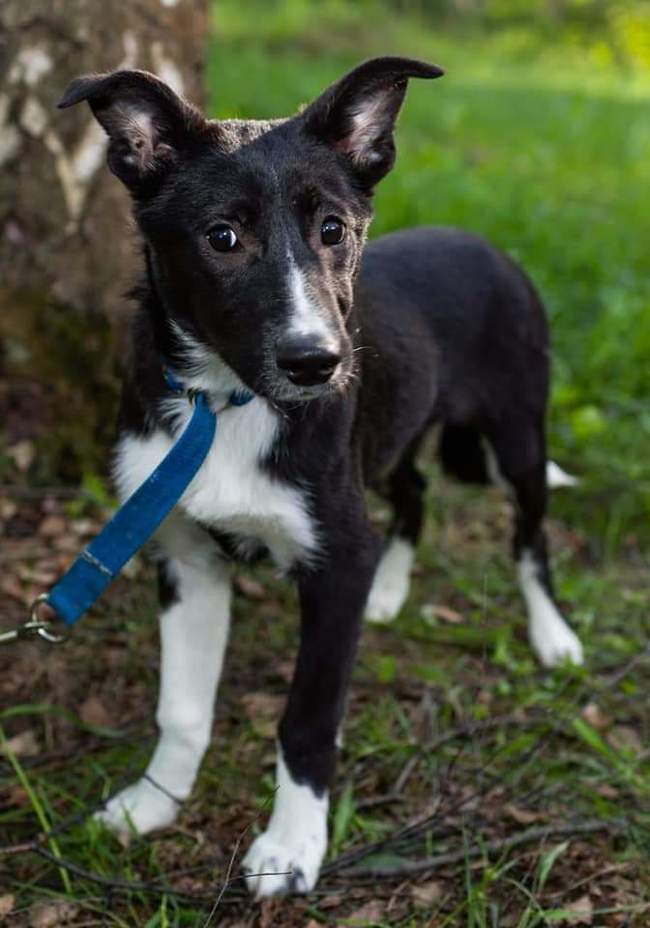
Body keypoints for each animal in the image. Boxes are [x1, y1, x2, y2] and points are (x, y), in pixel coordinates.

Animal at [58, 58, 580, 900]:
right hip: (391, 440)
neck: (224, 403)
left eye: (333, 230)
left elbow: (306, 719)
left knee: (529, 538)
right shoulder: (185, 557)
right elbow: (182, 710)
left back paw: (553, 634)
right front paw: (154, 802)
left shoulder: (334, 567)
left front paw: (292, 847)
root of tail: (483, 243)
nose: (317, 364)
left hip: (517, 438)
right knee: (413, 496)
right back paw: (392, 590)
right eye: (222, 237)